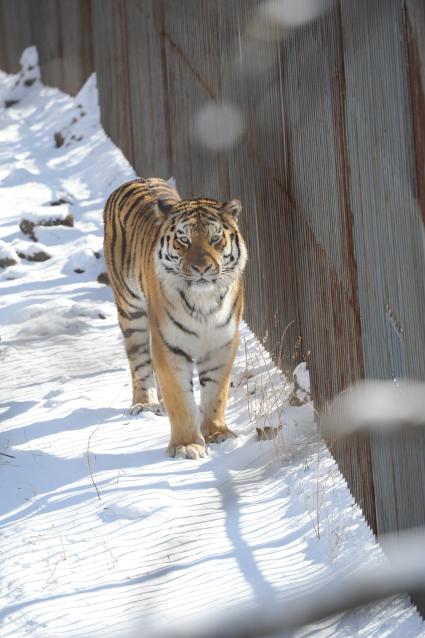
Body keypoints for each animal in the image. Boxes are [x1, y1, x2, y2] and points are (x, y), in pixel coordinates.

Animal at [102, 178, 247, 462]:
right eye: (184, 240)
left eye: (215, 239)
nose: (201, 268)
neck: (204, 301)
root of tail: (137, 180)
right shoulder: (169, 345)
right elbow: (180, 398)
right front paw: (187, 445)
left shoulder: (222, 344)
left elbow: (216, 393)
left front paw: (217, 433)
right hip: (131, 312)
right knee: (139, 361)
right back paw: (145, 403)